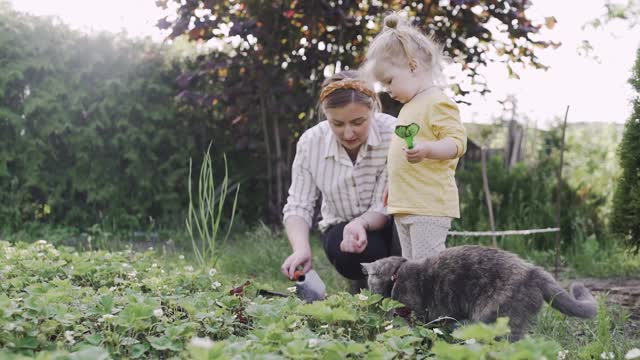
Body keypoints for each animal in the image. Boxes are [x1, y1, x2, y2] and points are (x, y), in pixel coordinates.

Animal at [362, 245, 596, 340]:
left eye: (370, 282)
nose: (368, 293)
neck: (396, 274)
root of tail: (533, 270)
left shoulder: (416, 314)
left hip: (493, 316)